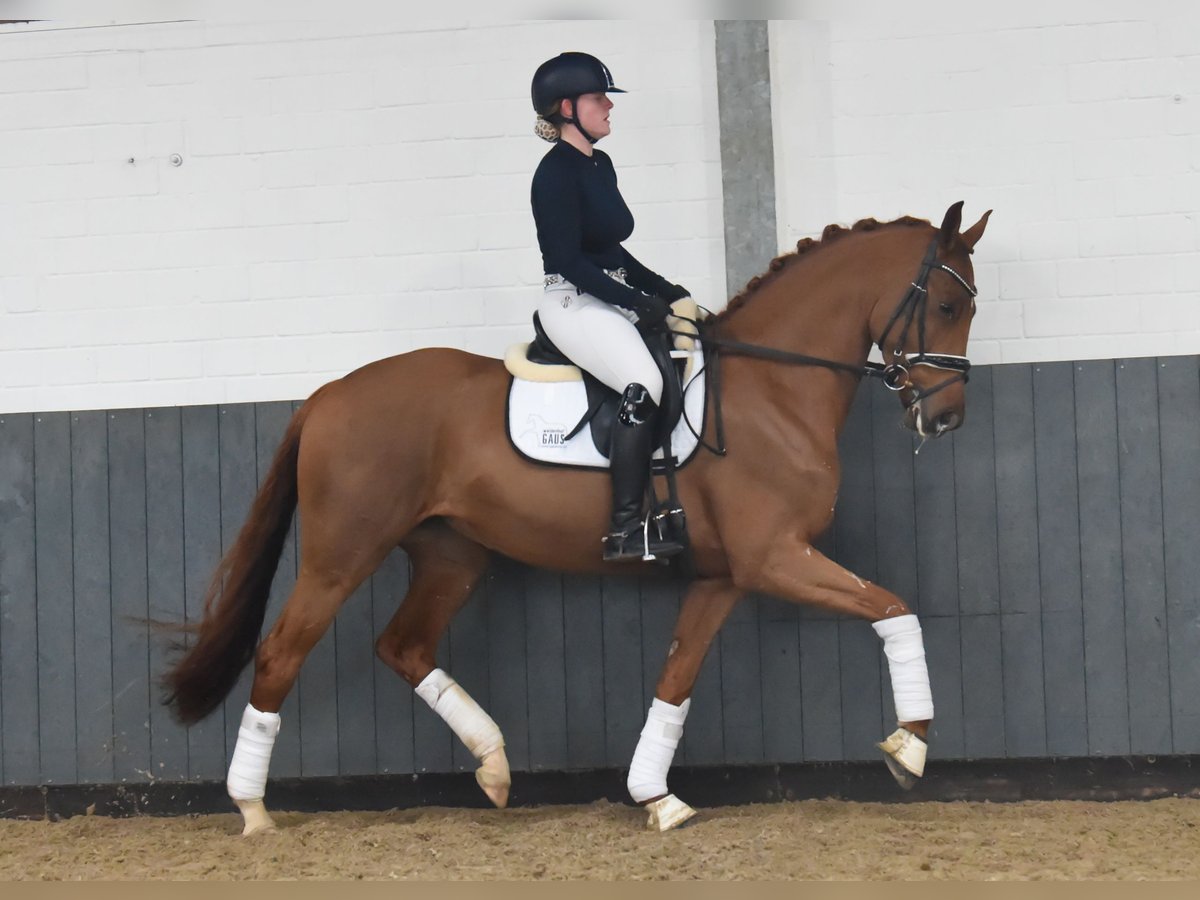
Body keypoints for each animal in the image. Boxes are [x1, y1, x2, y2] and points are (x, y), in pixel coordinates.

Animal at [169, 200, 993, 835]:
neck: (772, 390)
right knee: (280, 654)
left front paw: (656, 798)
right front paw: (911, 745)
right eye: (949, 307)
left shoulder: (725, 576)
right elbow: (894, 610)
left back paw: (495, 766)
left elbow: (676, 680)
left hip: (450, 555)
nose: (947, 420)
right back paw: (253, 812)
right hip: (343, 553)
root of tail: (327, 394)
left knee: (402, 645)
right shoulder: (776, 559)